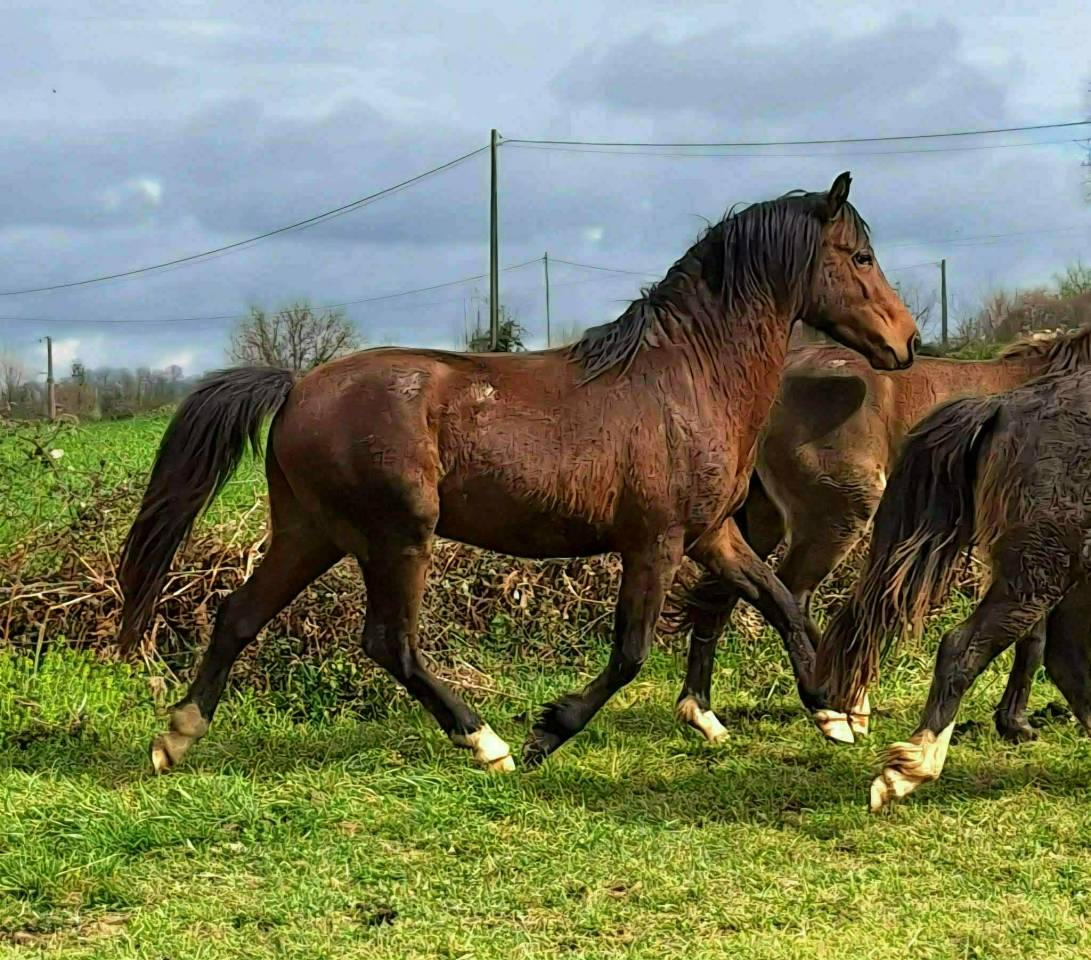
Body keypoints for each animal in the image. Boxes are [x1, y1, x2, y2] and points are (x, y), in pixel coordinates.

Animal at [117, 172, 918, 776]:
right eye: (859, 256)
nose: (907, 341)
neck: (686, 378)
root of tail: (296, 386)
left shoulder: (712, 534)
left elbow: (780, 603)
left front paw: (831, 712)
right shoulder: (653, 543)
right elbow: (631, 653)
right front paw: (546, 732)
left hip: (311, 533)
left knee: (240, 615)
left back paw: (175, 737)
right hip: (396, 536)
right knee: (388, 643)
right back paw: (487, 743)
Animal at [673, 327, 1091, 747]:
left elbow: (1033, 637)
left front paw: (1013, 722)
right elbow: (1033, 639)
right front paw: (1017, 723)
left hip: (761, 519)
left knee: (726, 592)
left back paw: (704, 711)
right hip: (840, 516)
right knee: (791, 595)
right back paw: (837, 708)